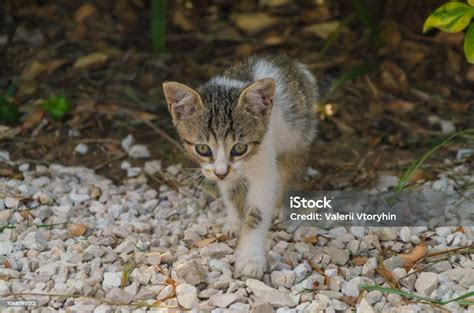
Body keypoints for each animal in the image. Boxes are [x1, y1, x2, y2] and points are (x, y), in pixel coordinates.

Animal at [162, 54, 318, 276]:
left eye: (239, 148)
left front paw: (250, 258)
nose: (221, 172)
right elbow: (231, 193)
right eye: (203, 149)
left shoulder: (264, 167)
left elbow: (257, 212)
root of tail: (292, 63)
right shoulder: (223, 174)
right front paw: (235, 222)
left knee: (293, 164)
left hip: (298, 134)